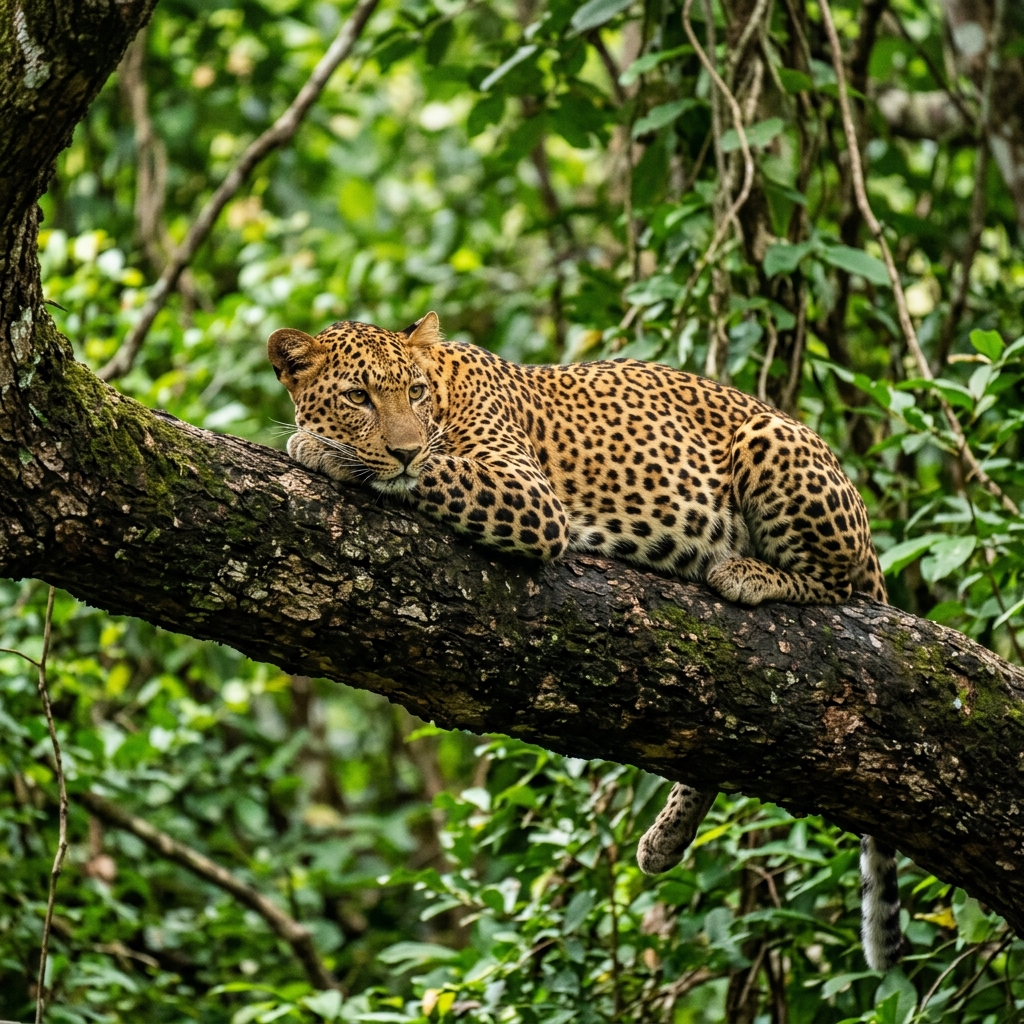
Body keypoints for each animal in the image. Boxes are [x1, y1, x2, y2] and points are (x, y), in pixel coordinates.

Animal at [268, 311, 902, 972]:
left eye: (413, 392)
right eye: (357, 398)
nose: (404, 448)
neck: (442, 394)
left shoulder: (528, 499)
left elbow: (431, 474)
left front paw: (319, 449)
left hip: (771, 441)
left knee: (834, 586)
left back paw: (745, 573)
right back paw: (665, 838)